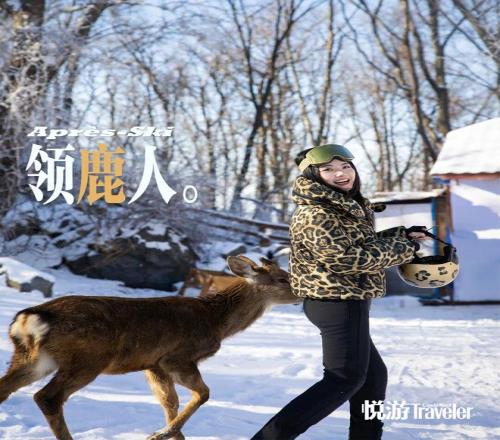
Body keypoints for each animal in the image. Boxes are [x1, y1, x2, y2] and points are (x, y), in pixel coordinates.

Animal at [0, 255, 300, 440]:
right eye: (282, 279)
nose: (301, 293)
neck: (217, 321)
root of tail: (29, 319)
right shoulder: (177, 357)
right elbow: (203, 394)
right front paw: (161, 433)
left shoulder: (153, 365)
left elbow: (170, 402)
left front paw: (169, 434)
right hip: (87, 359)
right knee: (48, 397)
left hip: (32, 358)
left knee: (6, 387)